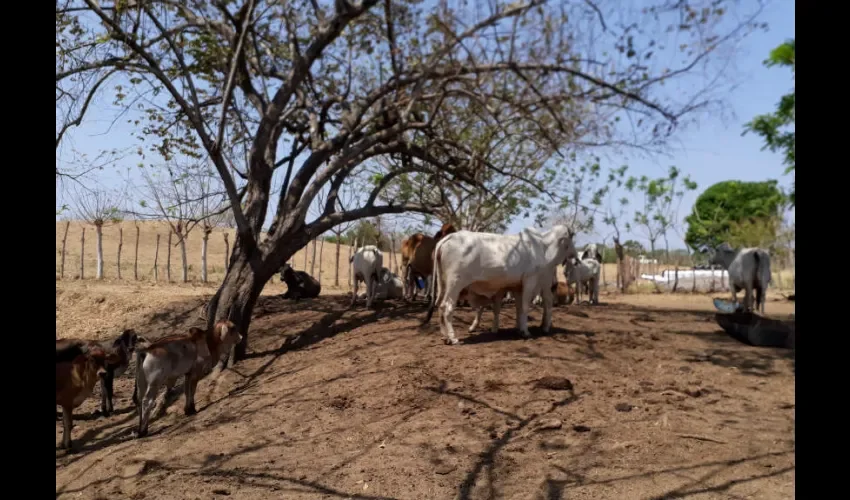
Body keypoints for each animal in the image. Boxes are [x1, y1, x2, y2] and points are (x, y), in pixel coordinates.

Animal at [422, 226, 576, 344]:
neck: (543, 248)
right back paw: (453, 338)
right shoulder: (530, 280)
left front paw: (519, 329)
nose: (575, 256)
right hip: (455, 283)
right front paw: (525, 331)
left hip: (443, 284)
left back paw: (445, 336)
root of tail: (449, 237)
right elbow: (525, 306)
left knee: (439, 305)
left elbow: (519, 308)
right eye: (572, 237)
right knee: (447, 307)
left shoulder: (517, 286)